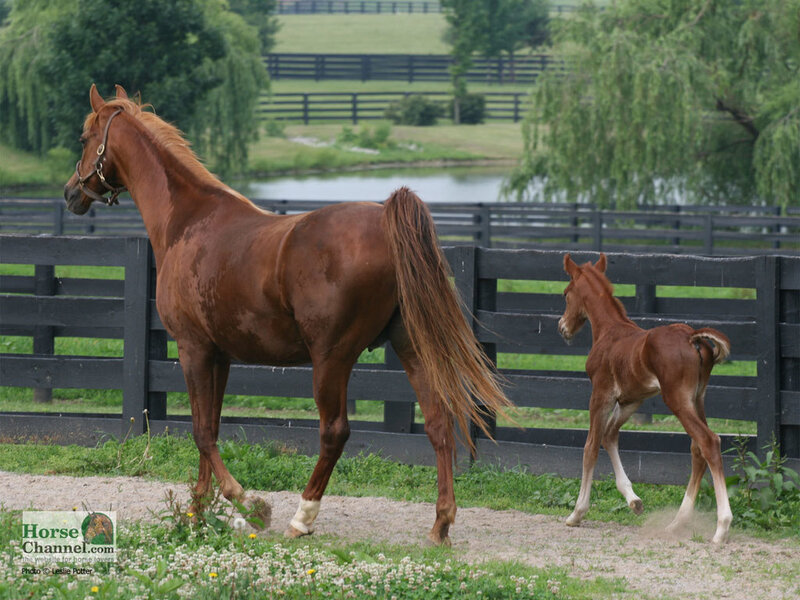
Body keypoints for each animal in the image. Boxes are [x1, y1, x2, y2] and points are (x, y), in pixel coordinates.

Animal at [63, 84, 512, 545]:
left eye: (84, 138)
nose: (70, 192)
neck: (188, 222)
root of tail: (385, 220)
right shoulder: (219, 356)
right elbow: (211, 428)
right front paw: (196, 512)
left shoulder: (192, 349)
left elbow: (201, 432)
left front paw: (247, 504)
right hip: (410, 347)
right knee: (439, 423)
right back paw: (440, 523)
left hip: (332, 359)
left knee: (335, 432)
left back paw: (302, 517)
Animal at [558, 253, 733, 544]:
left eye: (566, 293)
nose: (563, 327)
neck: (609, 331)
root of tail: (692, 337)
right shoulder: (631, 401)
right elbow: (609, 436)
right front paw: (634, 501)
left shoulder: (601, 395)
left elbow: (590, 446)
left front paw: (577, 513)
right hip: (697, 399)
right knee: (697, 448)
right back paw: (676, 523)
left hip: (676, 399)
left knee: (709, 441)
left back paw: (721, 527)